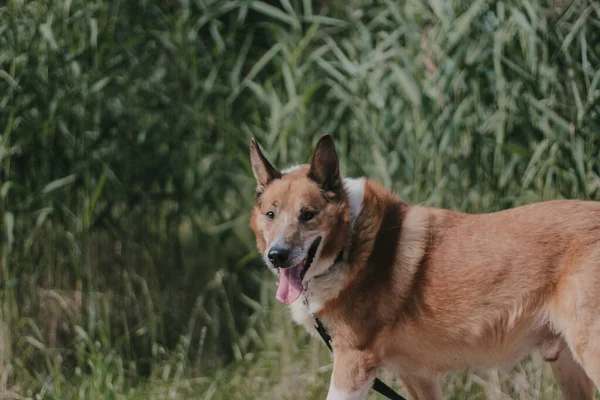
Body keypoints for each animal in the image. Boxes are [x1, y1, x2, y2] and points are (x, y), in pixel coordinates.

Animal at [248, 135, 600, 400]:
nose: (277, 255)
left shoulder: (353, 364)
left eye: (307, 214)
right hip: (568, 364)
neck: (350, 241)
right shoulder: (415, 374)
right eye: (270, 214)